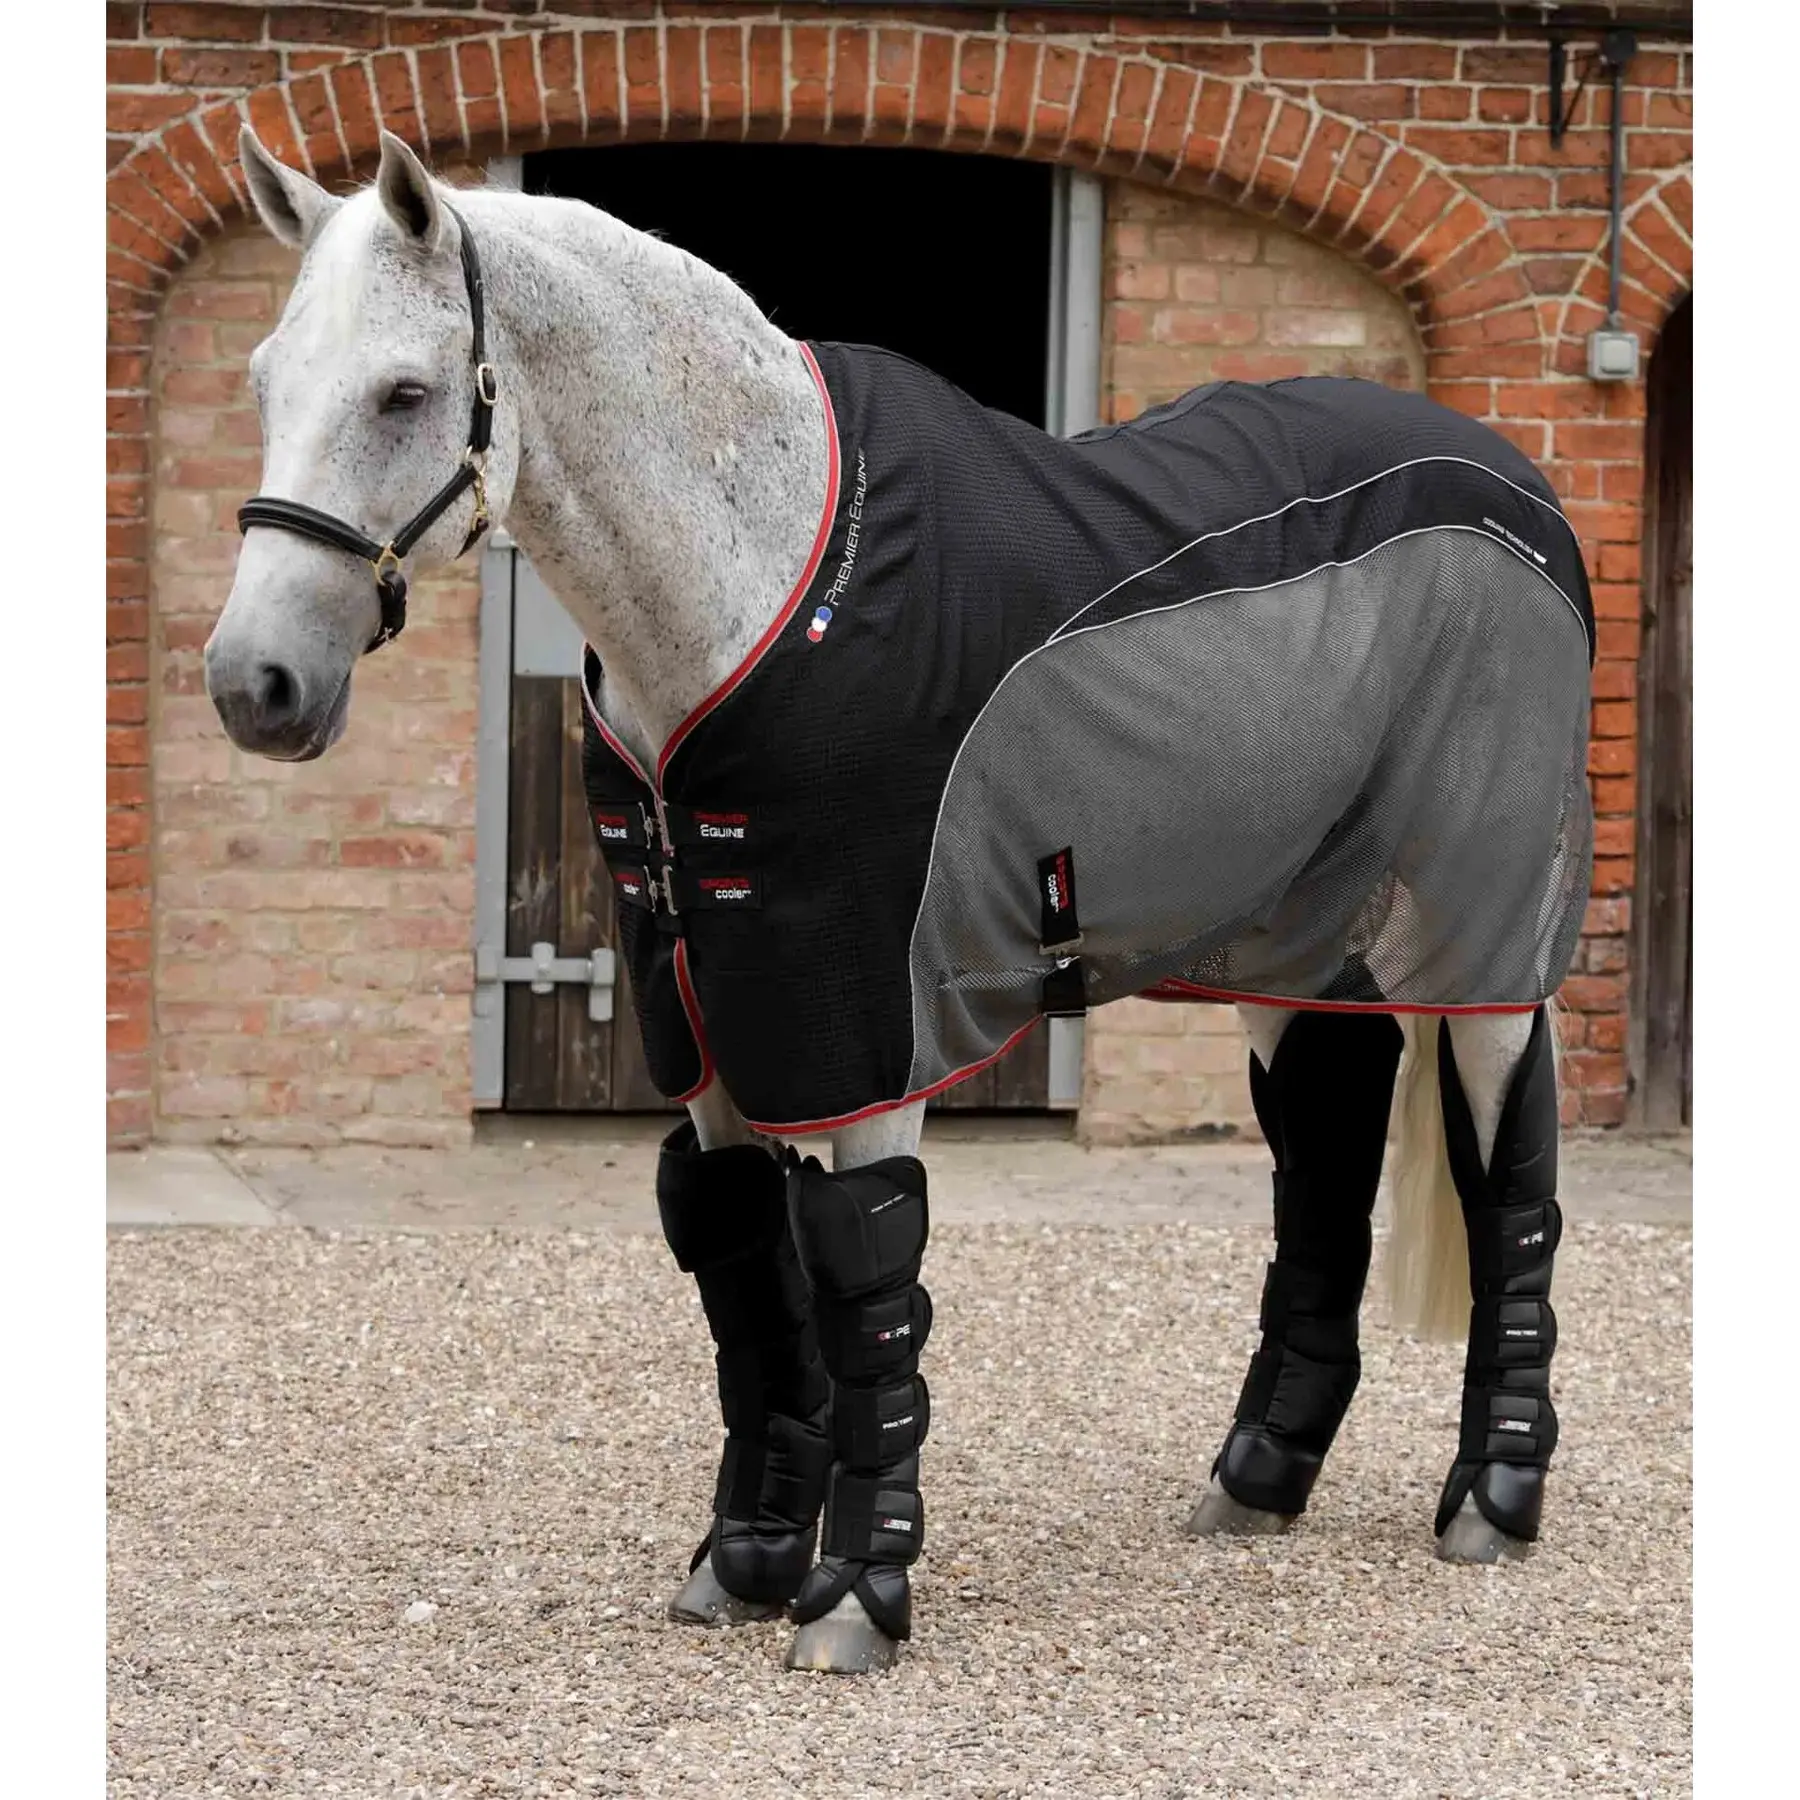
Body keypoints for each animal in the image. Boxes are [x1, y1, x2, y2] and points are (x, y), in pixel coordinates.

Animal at [206, 128, 1590, 1676]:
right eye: (263, 380)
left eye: (404, 391)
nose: (254, 685)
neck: (756, 587)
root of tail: (1514, 483)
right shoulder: (710, 1015)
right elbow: (747, 1279)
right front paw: (747, 1558)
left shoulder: (858, 1020)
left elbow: (867, 1291)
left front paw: (858, 1593)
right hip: (1290, 940)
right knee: (1326, 1149)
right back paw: (1260, 1479)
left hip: (1480, 929)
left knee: (1508, 1164)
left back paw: (1495, 1494)